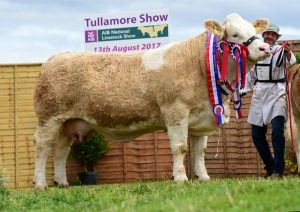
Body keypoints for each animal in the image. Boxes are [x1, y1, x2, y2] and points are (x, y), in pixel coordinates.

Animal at [32, 13, 270, 189]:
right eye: (235, 34)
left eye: (253, 30)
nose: (265, 48)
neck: (200, 64)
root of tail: (56, 58)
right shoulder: (175, 111)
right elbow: (180, 148)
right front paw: (181, 178)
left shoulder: (203, 116)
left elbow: (199, 151)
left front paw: (203, 177)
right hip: (49, 117)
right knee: (43, 146)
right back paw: (41, 183)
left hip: (67, 122)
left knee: (61, 150)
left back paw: (62, 182)